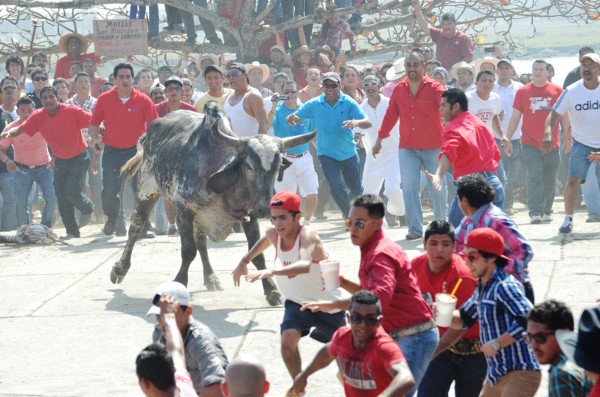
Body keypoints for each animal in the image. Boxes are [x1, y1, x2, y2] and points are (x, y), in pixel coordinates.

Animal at [110, 103, 316, 306]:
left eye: (277, 166)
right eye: (248, 166)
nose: (265, 207)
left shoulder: (249, 216)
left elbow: (256, 254)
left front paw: (271, 290)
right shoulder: (183, 207)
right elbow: (188, 251)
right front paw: (179, 282)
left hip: (199, 218)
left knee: (201, 242)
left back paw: (210, 277)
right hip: (147, 191)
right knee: (135, 229)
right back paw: (120, 269)